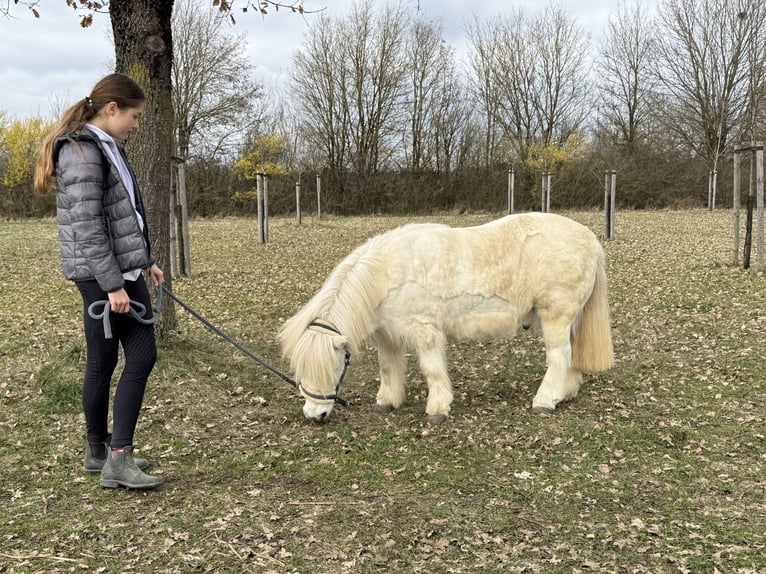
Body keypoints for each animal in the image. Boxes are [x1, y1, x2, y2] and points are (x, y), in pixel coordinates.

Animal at [278, 212, 614, 425]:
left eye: (333, 367)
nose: (314, 416)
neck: (386, 275)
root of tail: (591, 241)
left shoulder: (425, 330)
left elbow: (432, 370)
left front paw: (437, 410)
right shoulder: (388, 336)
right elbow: (388, 369)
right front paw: (387, 402)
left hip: (556, 315)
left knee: (559, 357)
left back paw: (545, 400)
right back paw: (565, 394)